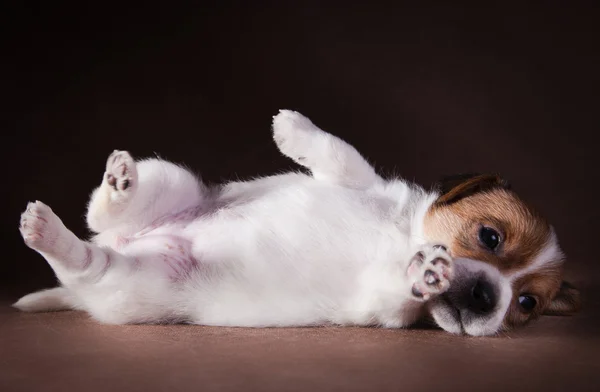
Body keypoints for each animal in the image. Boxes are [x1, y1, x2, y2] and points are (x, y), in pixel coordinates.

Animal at [14, 108, 580, 336]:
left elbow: (398, 289)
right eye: (490, 236)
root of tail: (131, 240)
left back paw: (51, 234)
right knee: (101, 214)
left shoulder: (381, 307)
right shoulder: (364, 183)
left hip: (135, 282)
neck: (403, 234)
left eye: (525, 305)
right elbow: (342, 154)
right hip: (176, 183)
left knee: (90, 260)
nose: (488, 298)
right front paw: (293, 129)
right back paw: (118, 185)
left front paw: (424, 272)